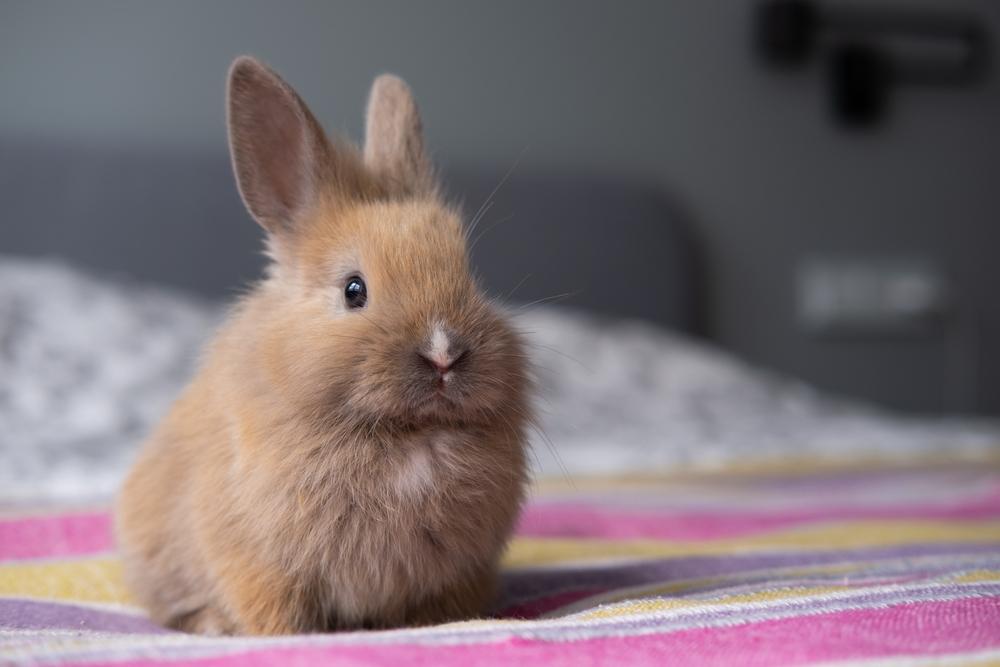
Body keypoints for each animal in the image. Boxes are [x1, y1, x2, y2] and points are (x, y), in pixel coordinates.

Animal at [115, 58, 532, 636]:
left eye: (470, 276)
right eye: (354, 290)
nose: (444, 353)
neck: (404, 433)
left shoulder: (456, 575)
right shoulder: (261, 565)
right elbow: (280, 618)